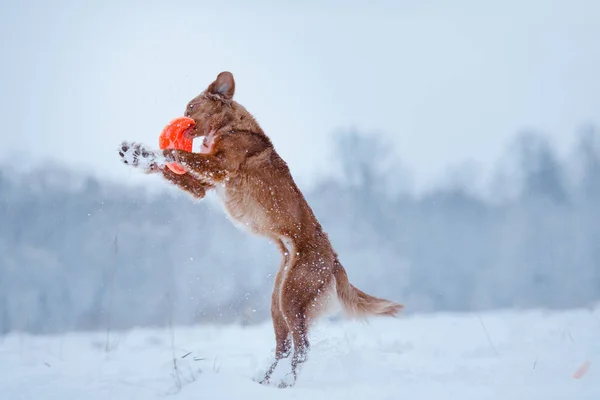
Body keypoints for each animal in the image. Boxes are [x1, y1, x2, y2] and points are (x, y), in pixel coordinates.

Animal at [118, 72, 404, 388]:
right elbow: (169, 168)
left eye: (191, 106)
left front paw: (154, 150)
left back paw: (287, 384)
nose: (181, 118)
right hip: (277, 302)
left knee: (302, 348)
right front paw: (136, 155)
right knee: (284, 346)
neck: (231, 126)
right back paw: (264, 382)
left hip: (292, 296)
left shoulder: (219, 166)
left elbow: (177, 153)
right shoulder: (202, 187)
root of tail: (335, 261)